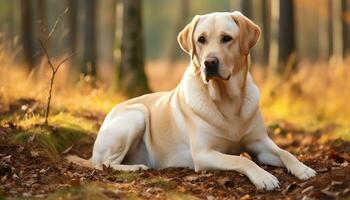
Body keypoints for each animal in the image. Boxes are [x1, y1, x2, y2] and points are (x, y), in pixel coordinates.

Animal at [67, 11, 316, 191]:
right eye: (201, 40)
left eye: (227, 38)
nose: (209, 63)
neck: (228, 100)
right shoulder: (203, 154)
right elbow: (243, 161)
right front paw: (264, 177)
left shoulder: (259, 142)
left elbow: (284, 152)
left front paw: (302, 168)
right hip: (135, 115)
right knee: (103, 164)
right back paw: (137, 167)